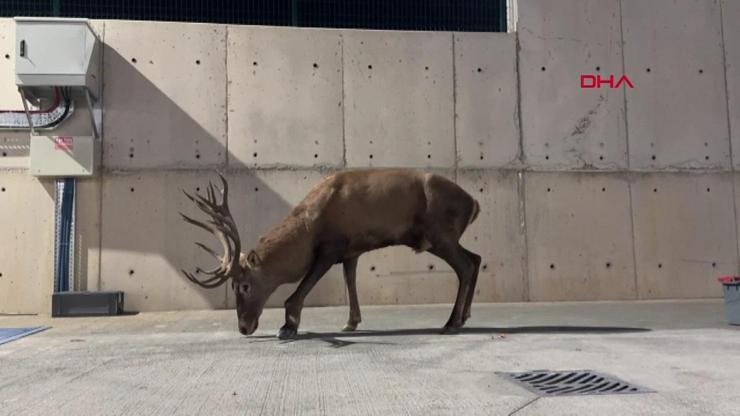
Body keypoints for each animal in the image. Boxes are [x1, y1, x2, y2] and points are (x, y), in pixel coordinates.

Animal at [179, 167, 480, 340]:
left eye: (244, 285)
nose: (244, 327)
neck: (309, 225)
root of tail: (474, 203)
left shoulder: (331, 247)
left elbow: (300, 289)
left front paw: (288, 327)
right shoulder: (351, 250)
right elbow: (351, 281)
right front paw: (351, 323)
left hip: (440, 235)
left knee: (465, 266)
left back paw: (451, 322)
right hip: (445, 238)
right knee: (476, 258)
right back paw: (464, 317)